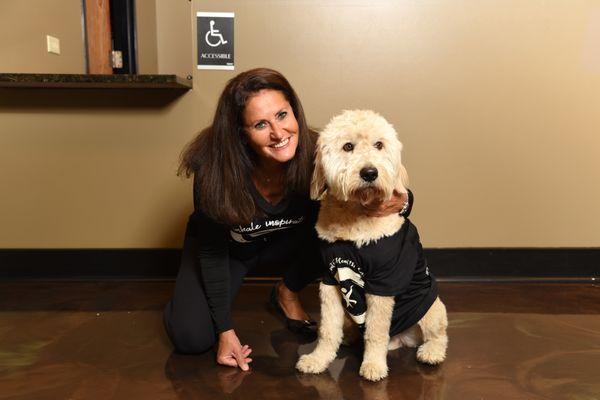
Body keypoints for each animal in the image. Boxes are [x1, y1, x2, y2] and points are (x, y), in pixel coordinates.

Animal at [296, 108, 446, 382]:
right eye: (348, 146)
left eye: (379, 145)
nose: (369, 173)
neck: (355, 215)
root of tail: (403, 340)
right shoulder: (330, 280)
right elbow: (327, 330)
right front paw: (318, 359)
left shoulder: (383, 282)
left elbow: (376, 331)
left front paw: (373, 364)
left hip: (432, 308)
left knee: (438, 334)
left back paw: (431, 351)